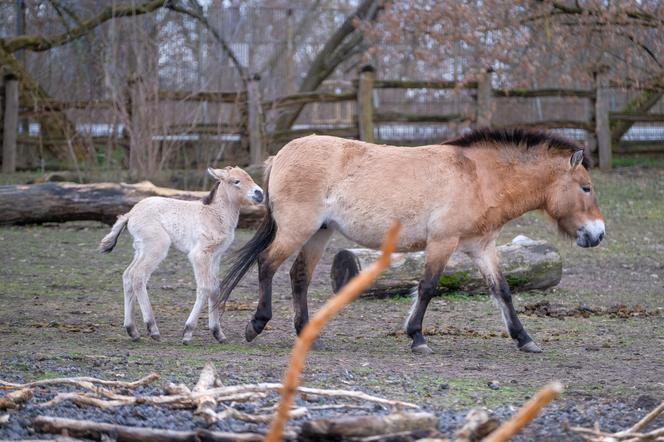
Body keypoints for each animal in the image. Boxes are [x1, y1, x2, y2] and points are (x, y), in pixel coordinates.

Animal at [220, 129, 604, 354]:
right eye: (586, 188)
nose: (598, 233)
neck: (478, 177)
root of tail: (281, 154)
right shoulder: (443, 242)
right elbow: (428, 287)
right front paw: (417, 337)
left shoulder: (481, 247)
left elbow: (503, 291)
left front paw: (524, 339)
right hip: (297, 230)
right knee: (267, 264)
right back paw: (257, 325)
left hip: (319, 232)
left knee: (298, 276)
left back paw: (306, 335)